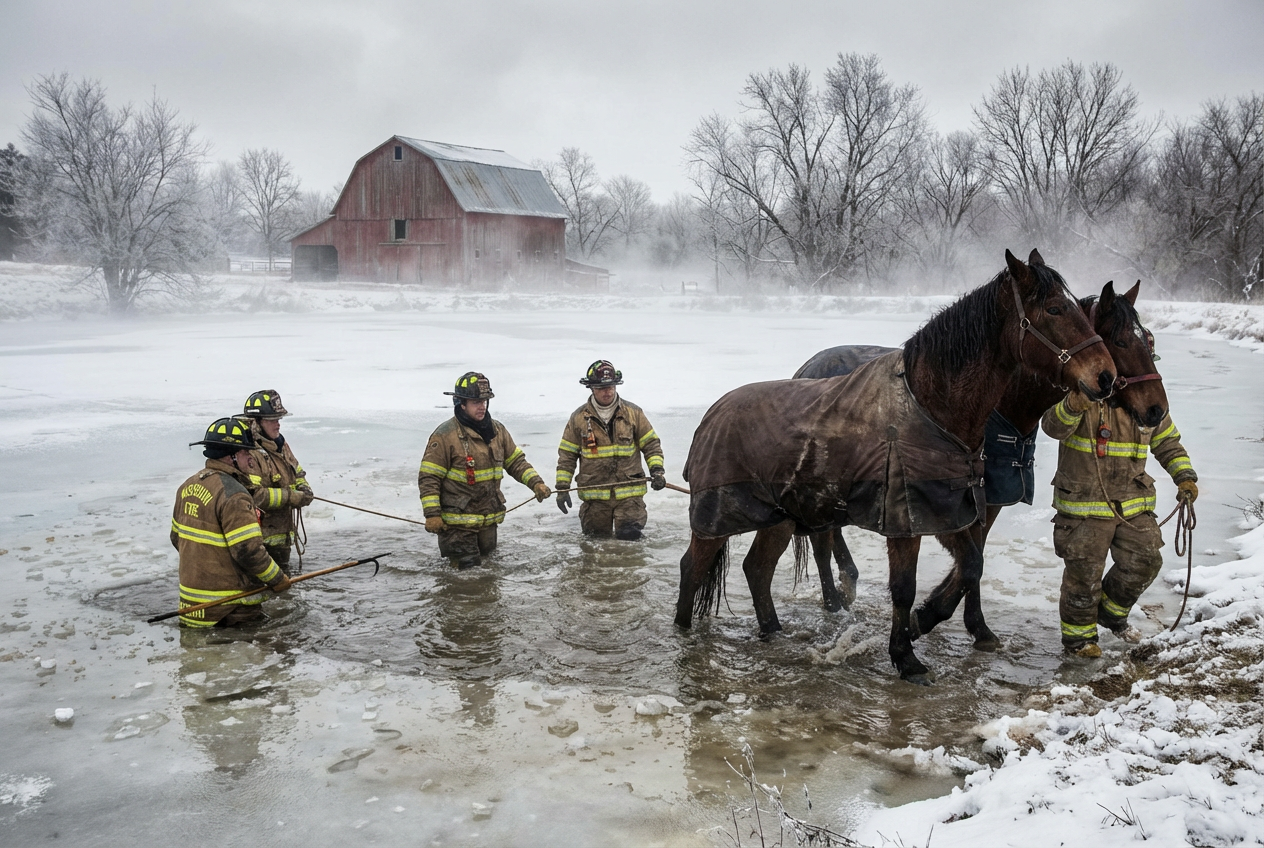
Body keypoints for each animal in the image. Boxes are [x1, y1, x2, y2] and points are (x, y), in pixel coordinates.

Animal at [675, 249, 1118, 683]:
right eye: (1055, 309)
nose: (1106, 377)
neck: (931, 408)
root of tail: (713, 414)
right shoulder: (907, 517)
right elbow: (904, 586)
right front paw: (906, 657)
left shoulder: (947, 510)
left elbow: (971, 565)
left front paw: (925, 625)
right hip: (717, 518)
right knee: (693, 568)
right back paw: (684, 633)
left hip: (780, 517)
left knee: (757, 569)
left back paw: (773, 632)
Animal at [793, 280, 1169, 652]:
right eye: (1120, 341)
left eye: (1149, 341)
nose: (1156, 410)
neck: (998, 408)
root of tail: (808, 367)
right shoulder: (957, 507)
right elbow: (970, 563)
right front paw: (931, 617)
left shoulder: (987, 505)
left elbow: (974, 562)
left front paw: (964, 623)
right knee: (821, 540)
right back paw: (834, 599)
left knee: (831, 533)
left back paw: (847, 583)